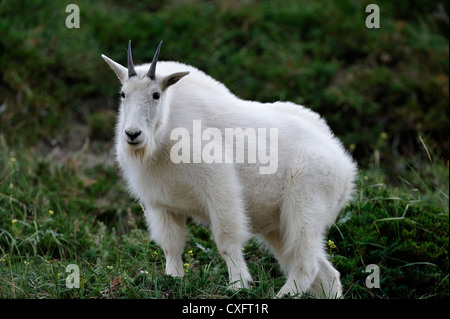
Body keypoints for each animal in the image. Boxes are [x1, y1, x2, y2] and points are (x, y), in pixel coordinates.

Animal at [102, 41, 358, 298]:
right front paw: (172, 280)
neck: (164, 135)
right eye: (123, 94)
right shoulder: (162, 204)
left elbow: (227, 241)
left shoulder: (219, 186)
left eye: (156, 95)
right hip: (280, 226)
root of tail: (347, 169)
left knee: (306, 264)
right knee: (327, 274)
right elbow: (170, 246)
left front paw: (238, 285)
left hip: (306, 206)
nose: (132, 134)